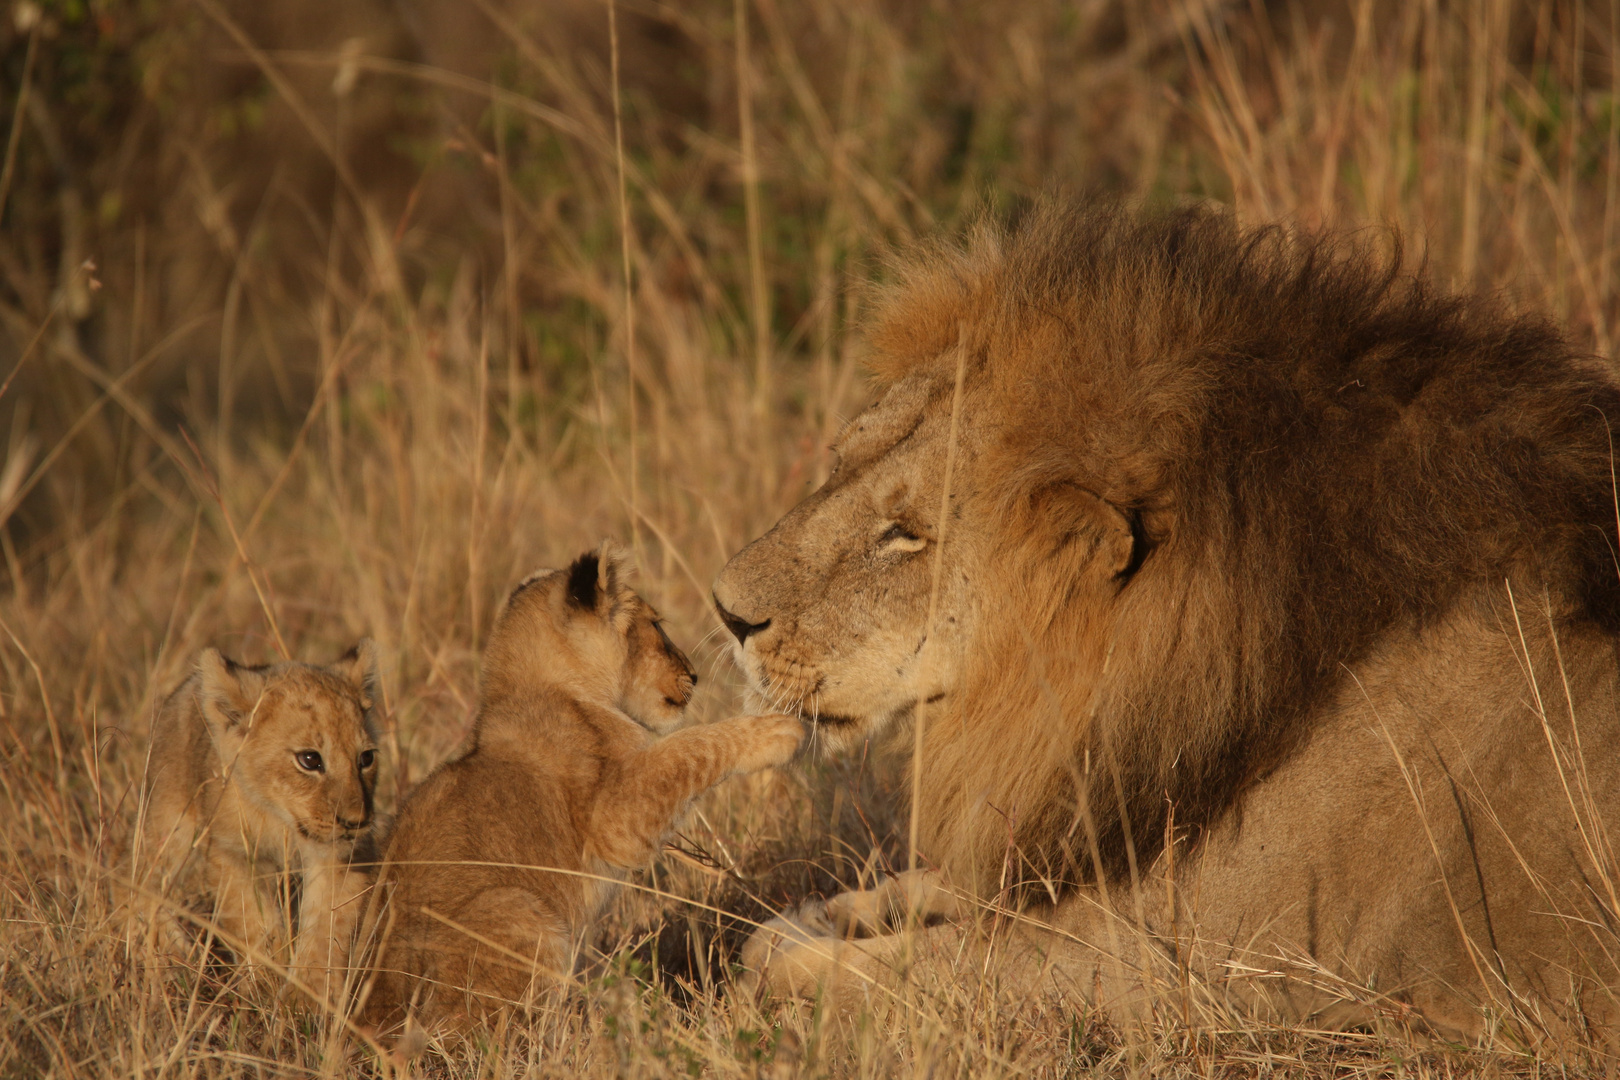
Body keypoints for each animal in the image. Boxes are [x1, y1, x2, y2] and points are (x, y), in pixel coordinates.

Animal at [716, 204, 1620, 1049]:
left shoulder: (1209, 967)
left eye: (904, 534)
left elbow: (912, 967)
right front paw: (826, 913)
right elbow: (938, 888)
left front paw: (788, 955)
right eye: (839, 463)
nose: (725, 611)